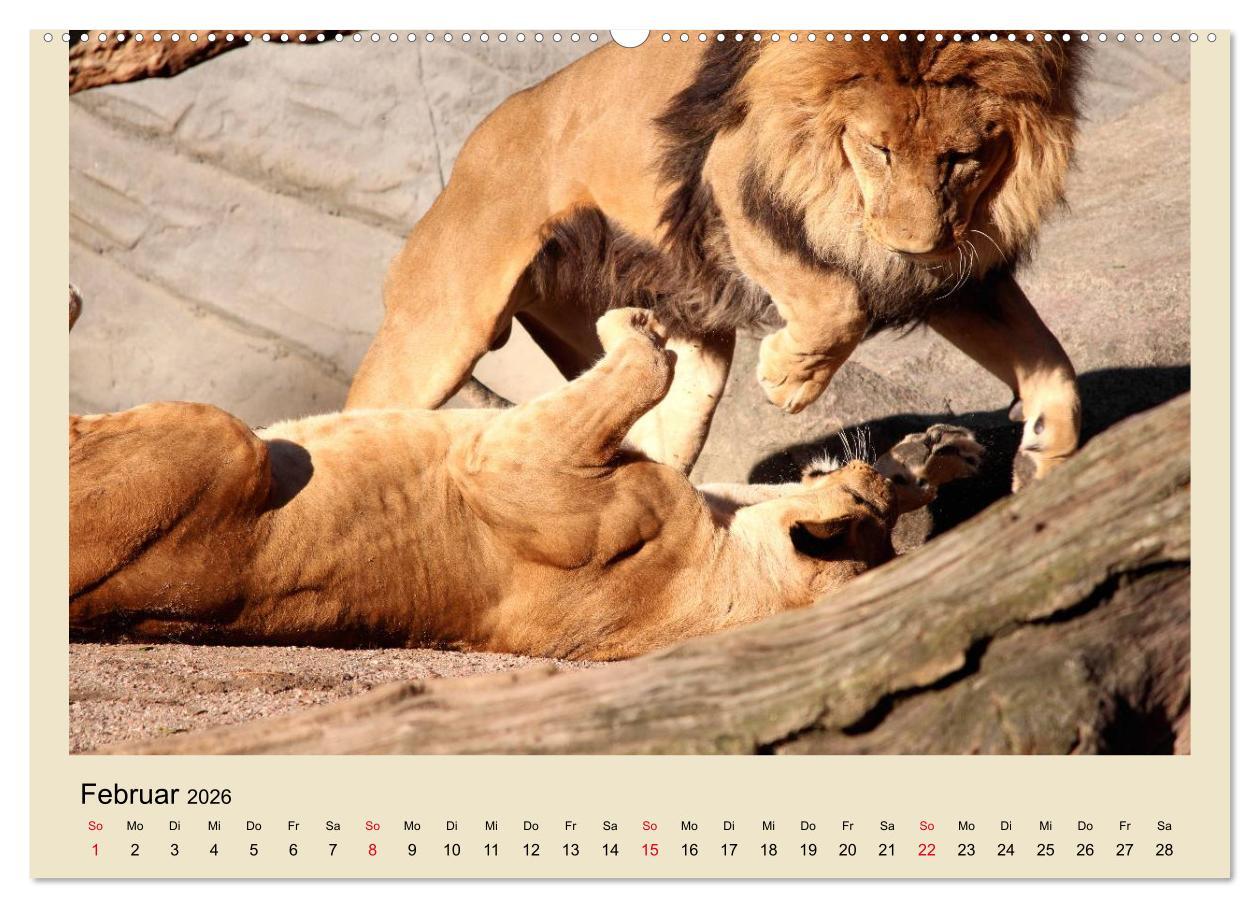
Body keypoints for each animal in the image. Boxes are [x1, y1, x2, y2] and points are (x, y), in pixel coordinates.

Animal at [70, 309, 982, 660]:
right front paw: (934, 453)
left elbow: (645, 368)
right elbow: (675, 394)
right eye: (867, 509)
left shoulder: (511, 465)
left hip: (223, 441)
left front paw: (633, 324)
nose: (858, 470)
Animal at [346, 34, 1083, 491]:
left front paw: (1044, 464)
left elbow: (1053, 365)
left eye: (961, 158)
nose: (914, 244)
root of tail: (470, 152)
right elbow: (836, 302)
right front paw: (788, 379)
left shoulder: (958, 272)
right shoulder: (734, 180)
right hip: (442, 330)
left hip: (678, 349)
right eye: (879, 149)